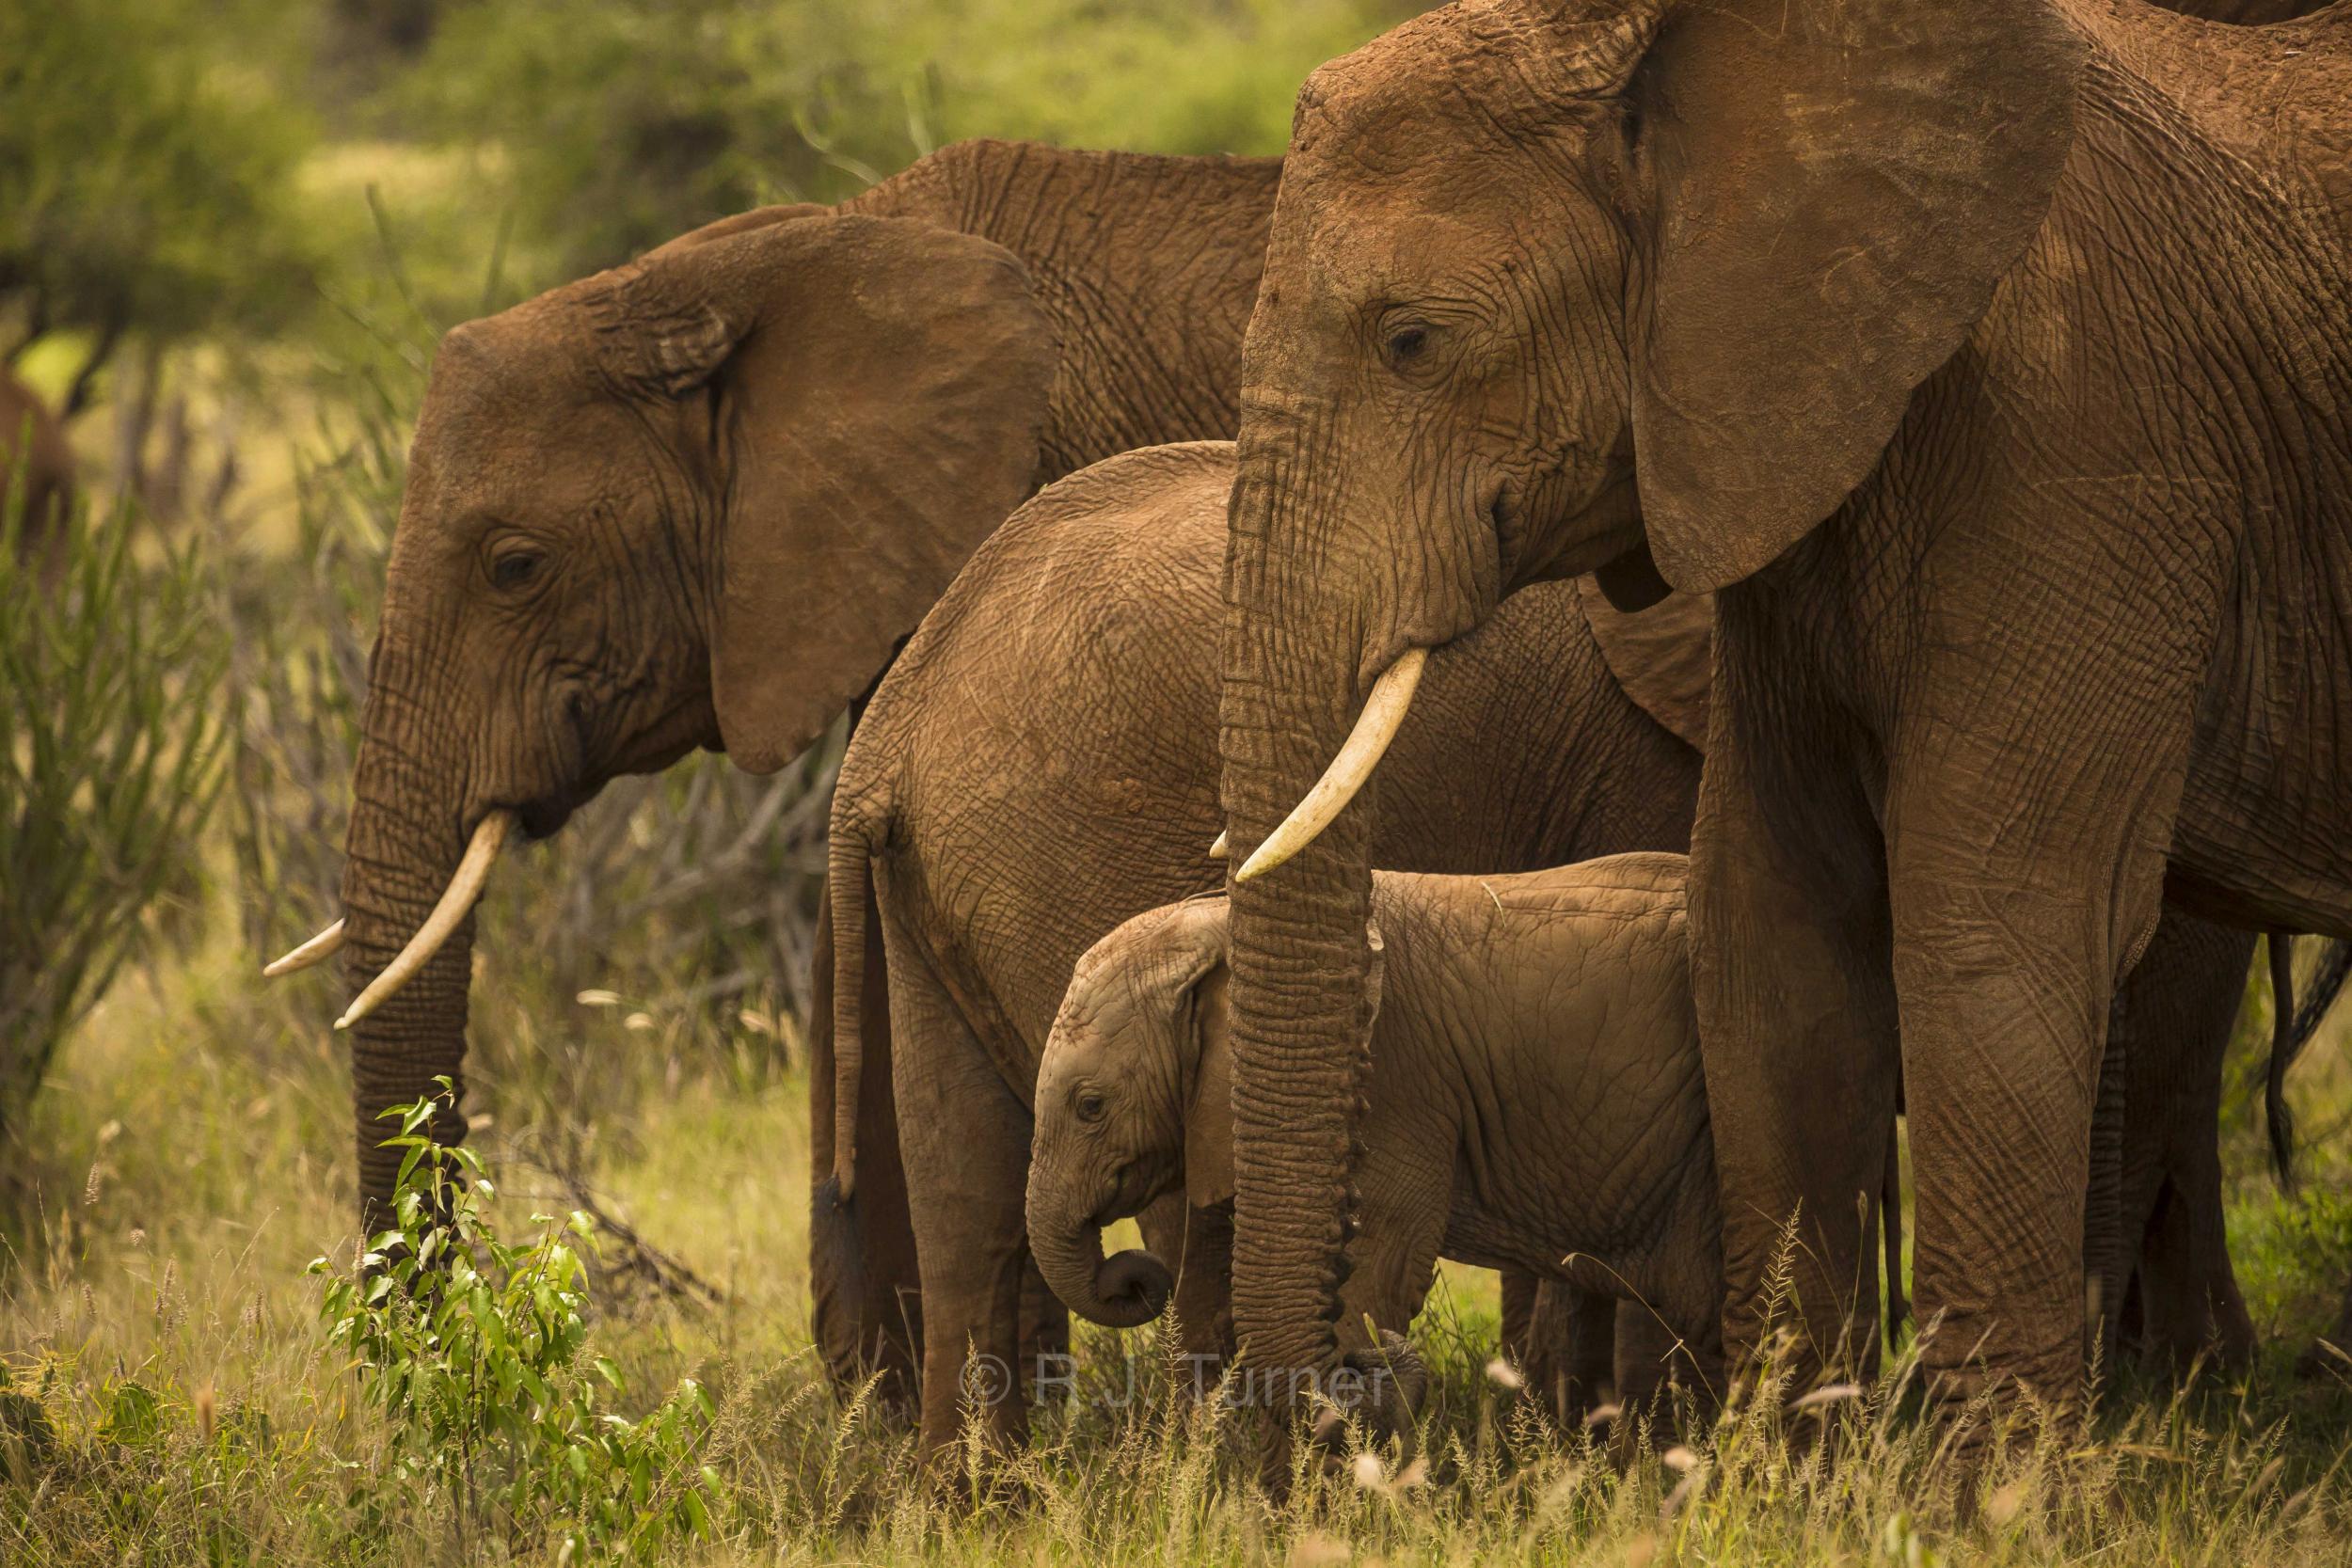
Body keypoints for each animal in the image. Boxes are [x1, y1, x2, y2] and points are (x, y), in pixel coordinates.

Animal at [1204, 0, 2352, 1457]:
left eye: (1411, 339)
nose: (1319, 1417)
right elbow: (1770, 920)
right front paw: (1797, 1462)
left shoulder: (2097, 440)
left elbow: (1994, 922)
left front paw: (1990, 1486)